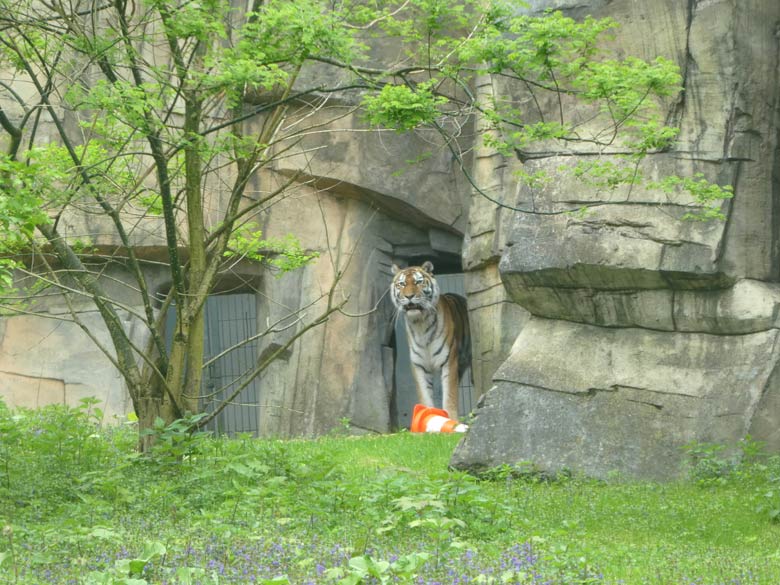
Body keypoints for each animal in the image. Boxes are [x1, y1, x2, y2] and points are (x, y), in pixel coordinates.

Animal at [388, 258, 470, 416]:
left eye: (418, 282)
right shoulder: (419, 365)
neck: (420, 325)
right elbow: (424, 396)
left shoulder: (449, 362)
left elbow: (450, 395)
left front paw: (452, 418)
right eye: (402, 284)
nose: (409, 296)